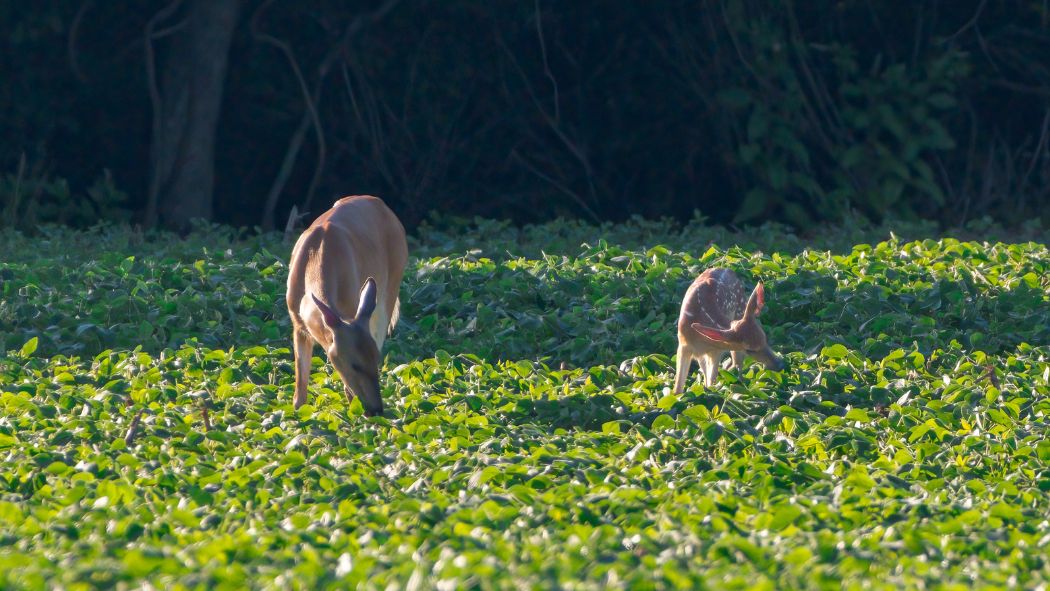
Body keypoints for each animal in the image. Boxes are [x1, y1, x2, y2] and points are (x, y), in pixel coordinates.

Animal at [286, 195, 408, 416]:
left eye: (376, 360)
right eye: (354, 365)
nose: (376, 410)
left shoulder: (352, 308)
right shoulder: (297, 323)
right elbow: (300, 387)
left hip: (392, 285)